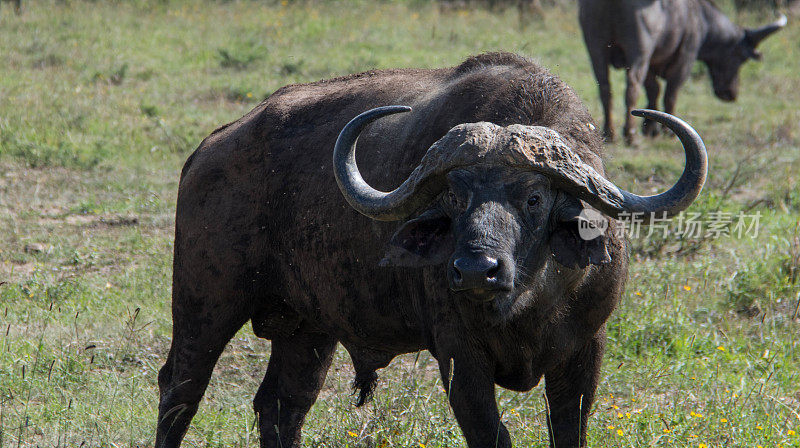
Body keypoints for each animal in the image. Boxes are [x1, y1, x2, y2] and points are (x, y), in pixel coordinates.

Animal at [156, 53, 708, 448]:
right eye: (455, 197)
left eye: (533, 198)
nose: (476, 271)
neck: (527, 302)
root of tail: (209, 150)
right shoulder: (459, 355)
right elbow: (492, 434)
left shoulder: (585, 348)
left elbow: (569, 431)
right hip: (205, 304)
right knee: (180, 390)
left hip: (307, 328)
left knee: (281, 406)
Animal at [580, 0, 784, 144]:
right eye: (742, 58)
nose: (731, 94)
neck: (700, 17)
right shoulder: (685, 58)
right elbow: (670, 94)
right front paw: (667, 132)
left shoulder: (653, 61)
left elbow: (653, 90)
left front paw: (650, 128)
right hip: (639, 52)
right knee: (632, 87)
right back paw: (630, 136)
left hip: (595, 48)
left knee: (605, 88)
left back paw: (609, 133)